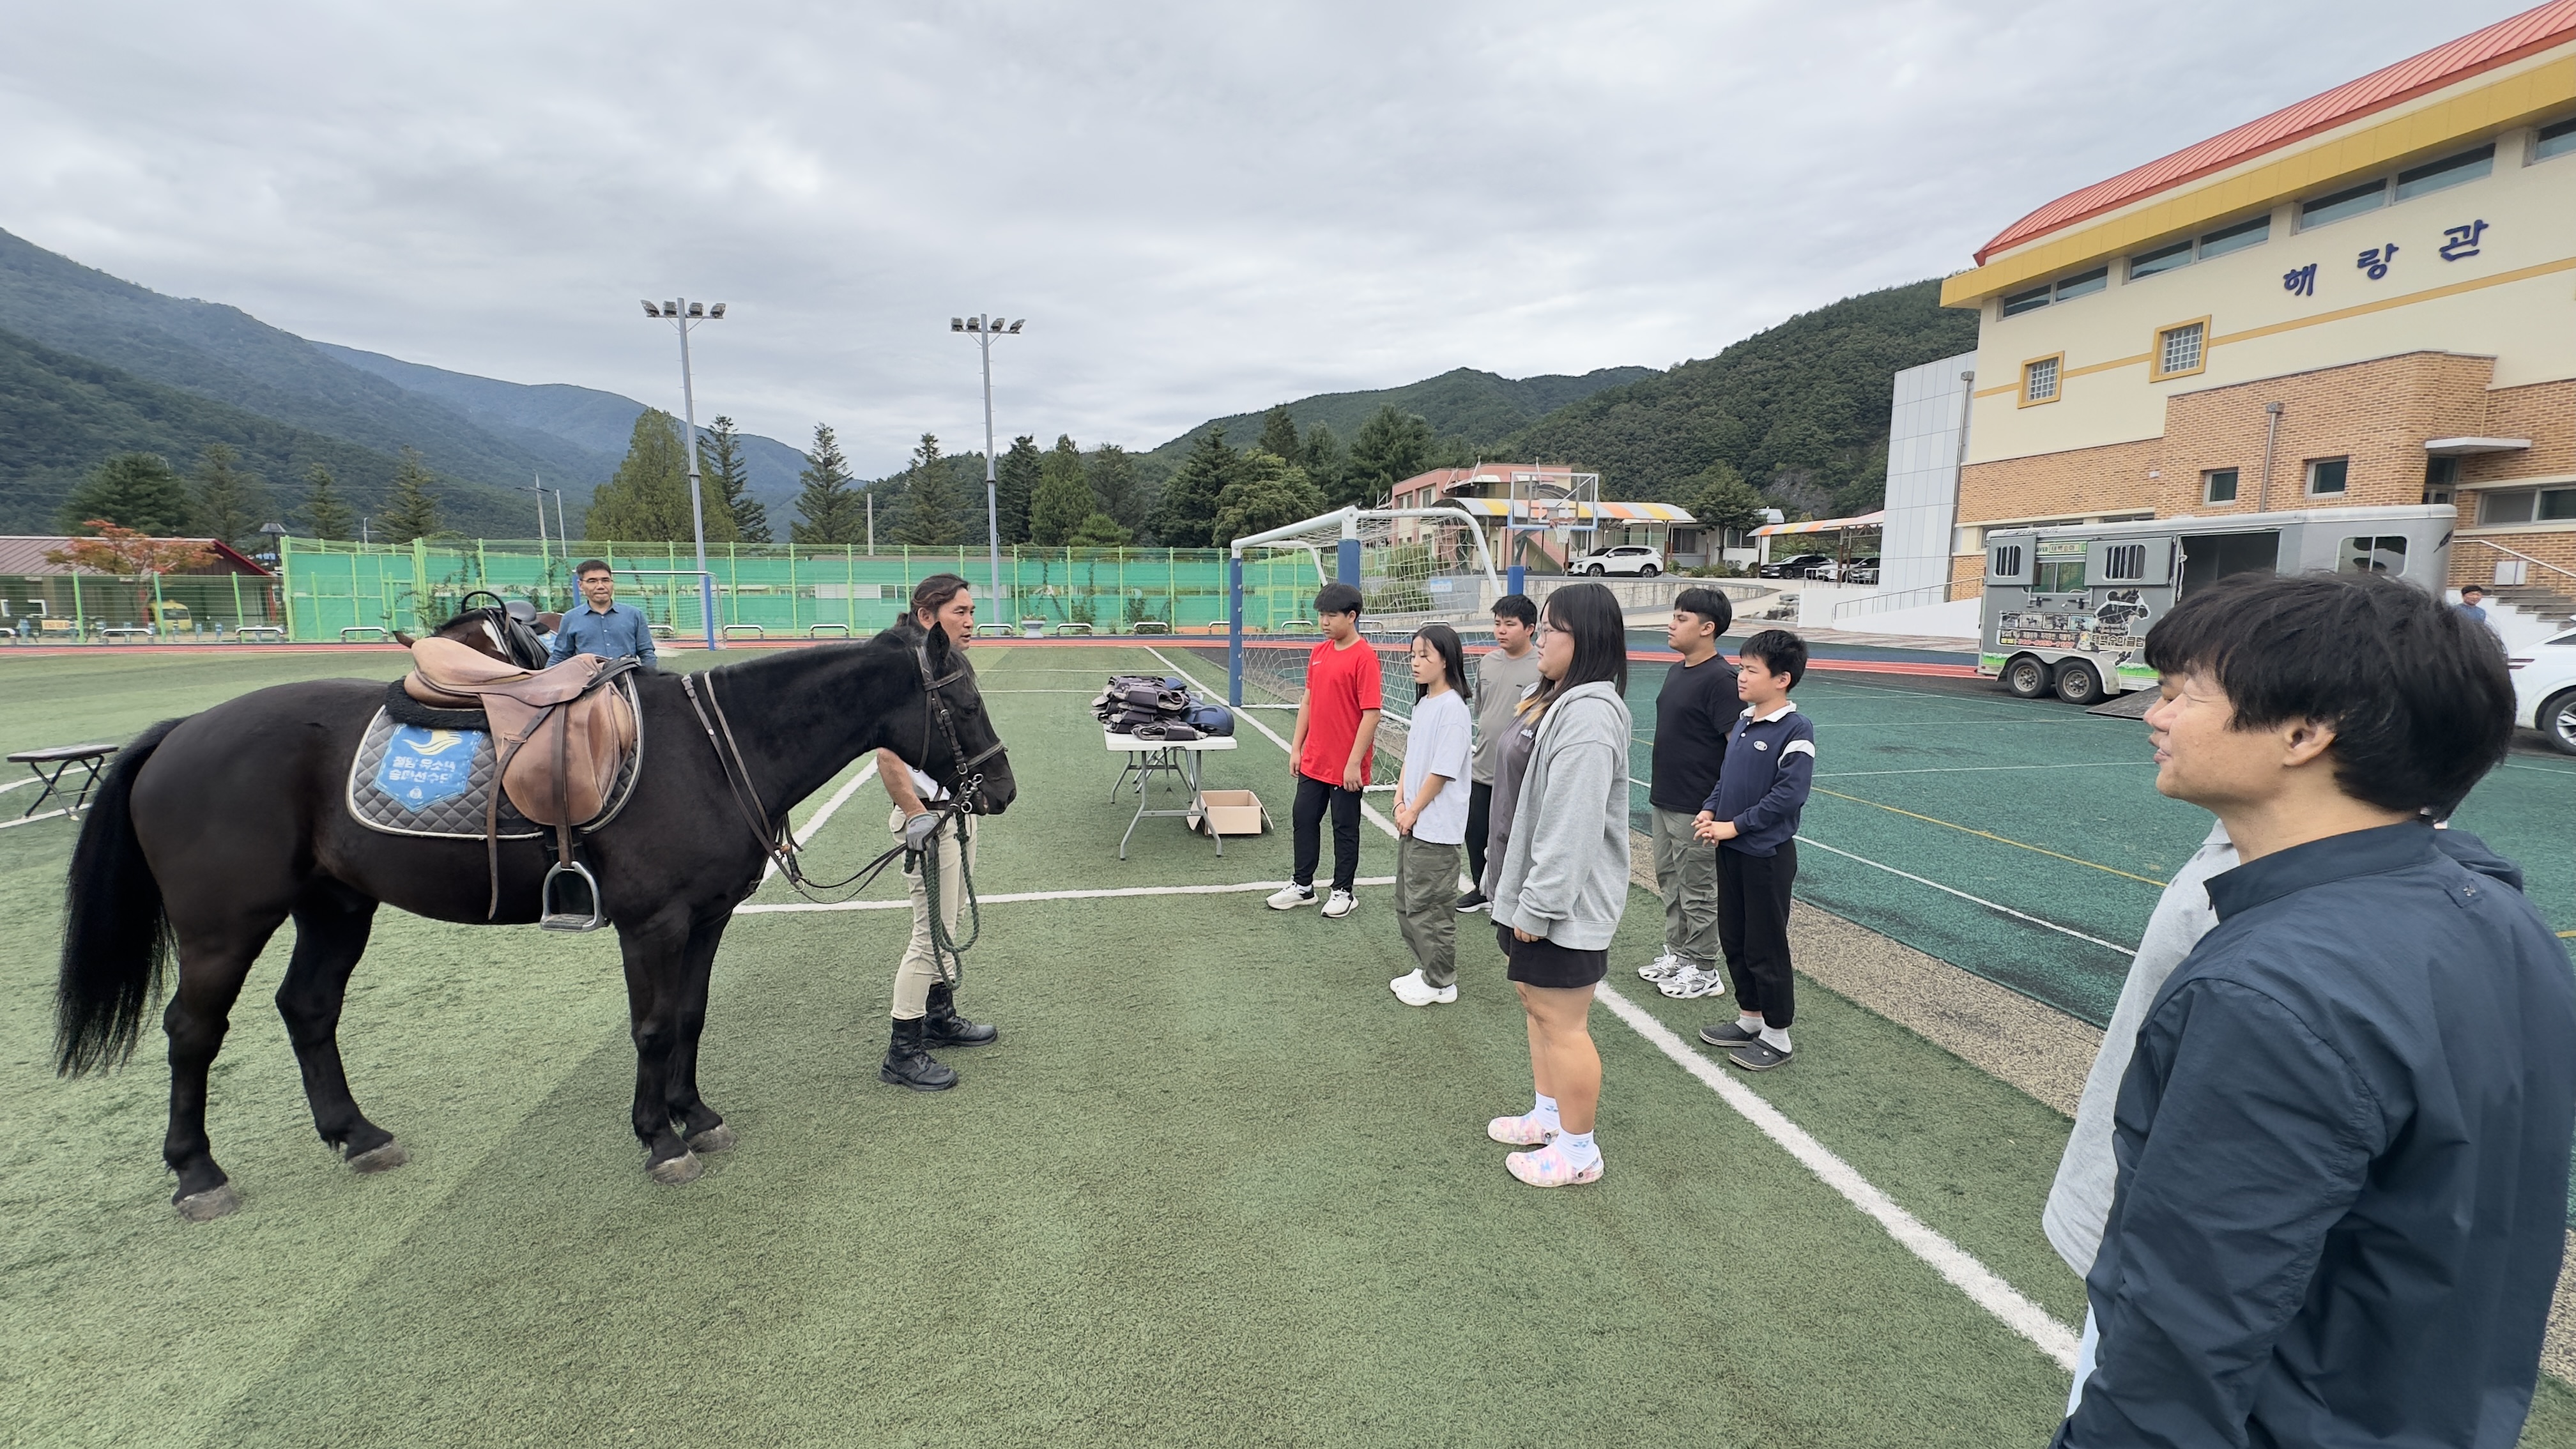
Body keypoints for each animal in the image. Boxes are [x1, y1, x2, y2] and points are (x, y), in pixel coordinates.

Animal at [50, 626, 1009, 1211]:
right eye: (962, 703)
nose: (999, 789)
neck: (711, 749)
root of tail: (180, 731)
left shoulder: (705, 919)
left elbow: (692, 1018)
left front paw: (695, 1115)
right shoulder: (651, 924)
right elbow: (654, 1027)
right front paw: (657, 1138)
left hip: (335, 905)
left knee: (308, 1009)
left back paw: (356, 1135)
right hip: (223, 924)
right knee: (192, 1031)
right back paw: (197, 1171)